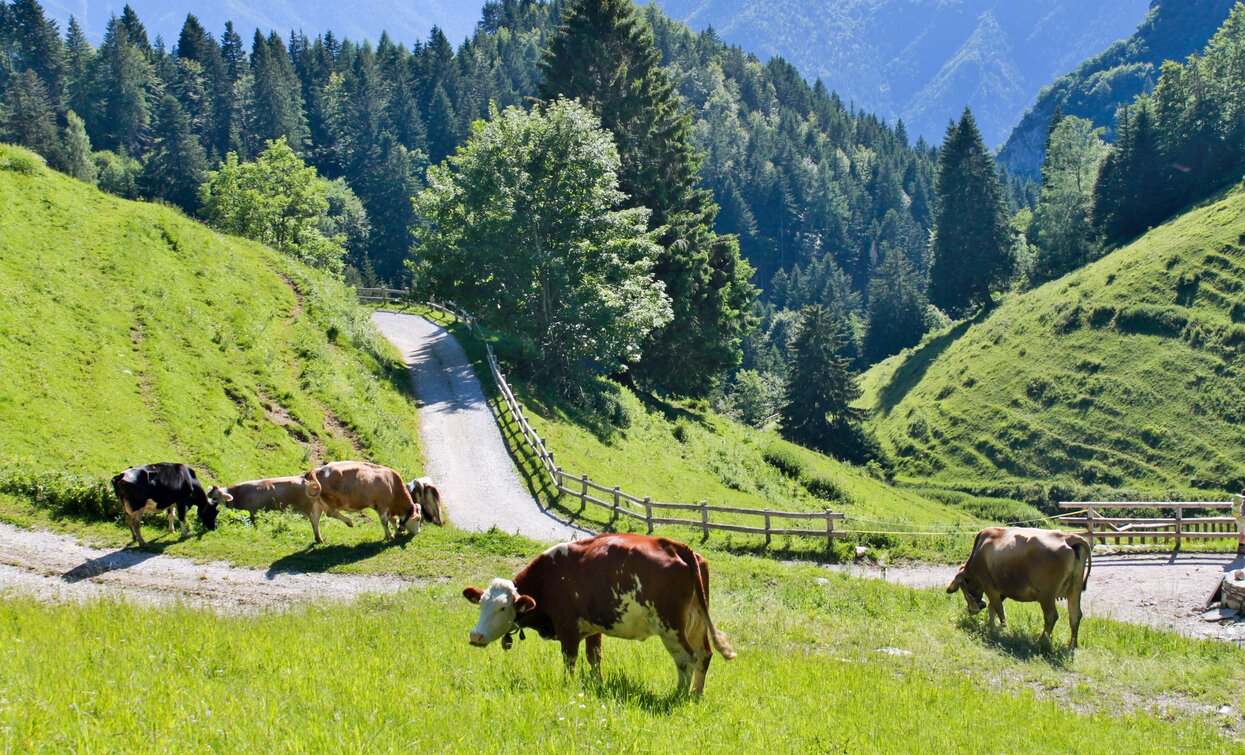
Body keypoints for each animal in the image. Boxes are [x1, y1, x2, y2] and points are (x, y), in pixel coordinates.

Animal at [463, 533, 732, 697]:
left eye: (502, 607)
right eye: (482, 603)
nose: (476, 635)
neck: (549, 577)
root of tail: (676, 546)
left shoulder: (568, 629)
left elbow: (570, 661)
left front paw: (568, 686)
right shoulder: (593, 628)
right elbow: (595, 658)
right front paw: (596, 684)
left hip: (671, 628)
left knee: (687, 658)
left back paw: (678, 695)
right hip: (696, 623)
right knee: (704, 655)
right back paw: (696, 694)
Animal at [951, 525, 1090, 652]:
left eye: (963, 588)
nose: (973, 609)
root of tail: (1068, 538)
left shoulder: (989, 586)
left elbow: (999, 609)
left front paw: (1002, 629)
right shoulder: (1002, 588)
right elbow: (993, 608)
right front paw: (991, 627)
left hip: (1046, 594)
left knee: (1051, 616)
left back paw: (1042, 641)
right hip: (1075, 589)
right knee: (1075, 615)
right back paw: (1072, 646)